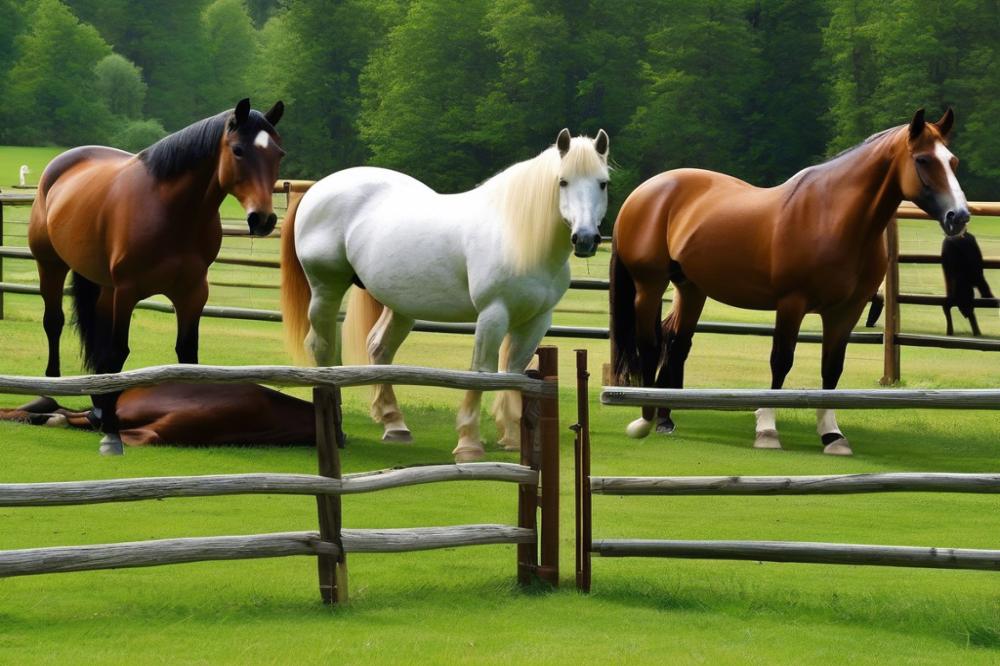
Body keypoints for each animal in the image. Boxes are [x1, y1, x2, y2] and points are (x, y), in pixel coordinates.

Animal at [28, 98, 285, 456]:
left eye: (279, 153)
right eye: (237, 150)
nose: (262, 219)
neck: (171, 211)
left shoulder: (193, 293)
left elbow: (187, 356)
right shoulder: (128, 291)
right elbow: (118, 353)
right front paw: (111, 434)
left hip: (105, 287)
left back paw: (98, 404)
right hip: (50, 264)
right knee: (54, 322)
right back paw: (51, 392)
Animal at [281, 129, 609, 461]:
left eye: (603, 182)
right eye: (563, 181)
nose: (585, 238)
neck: (516, 236)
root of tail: (319, 189)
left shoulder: (537, 321)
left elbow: (514, 373)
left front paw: (514, 437)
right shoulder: (493, 314)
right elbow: (481, 372)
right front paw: (469, 443)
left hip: (401, 306)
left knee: (379, 349)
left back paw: (394, 424)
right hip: (326, 289)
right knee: (322, 347)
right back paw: (334, 427)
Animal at [610, 108, 969, 455]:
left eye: (952, 161)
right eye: (923, 160)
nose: (959, 216)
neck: (832, 217)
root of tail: (645, 191)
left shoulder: (845, 311)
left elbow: (832, 369)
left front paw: (832, 435)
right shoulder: (791, 304)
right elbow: (780, 362)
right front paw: (767, 430)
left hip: (692, 289)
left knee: (676, 344)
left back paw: (665, 419)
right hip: (650, 286)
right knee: (649, 343)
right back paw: (646, 417)